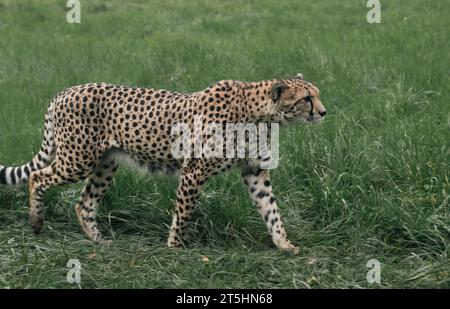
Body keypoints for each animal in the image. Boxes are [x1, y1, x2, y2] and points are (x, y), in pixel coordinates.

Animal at [0, 73, 324, 253]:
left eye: (317, 95)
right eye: (306, 98)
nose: (323, 112)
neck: (259, 113)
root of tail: (64, 91)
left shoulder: (254, 172)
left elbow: (271, 210)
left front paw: (284, 244)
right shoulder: (193, 172)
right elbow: (183, 213)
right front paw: (175, 248)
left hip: (105, 163)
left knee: (84, 203)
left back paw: (99, 241)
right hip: (77, 159)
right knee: (38, 177)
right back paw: (36, 222)